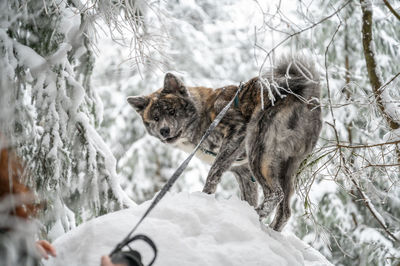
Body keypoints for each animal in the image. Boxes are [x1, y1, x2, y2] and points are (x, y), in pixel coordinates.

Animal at [127, 57, 322, 231]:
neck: (202, 114)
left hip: (258, 155)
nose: (164, 131)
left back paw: (257, 214)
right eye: (156, 118)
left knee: (275, 194)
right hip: (286, 168)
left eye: (172, 111)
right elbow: (248, 197)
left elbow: (213, 173)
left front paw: (205, 197)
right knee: (285, 212)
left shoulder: (237, 132)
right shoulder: (243, 173)